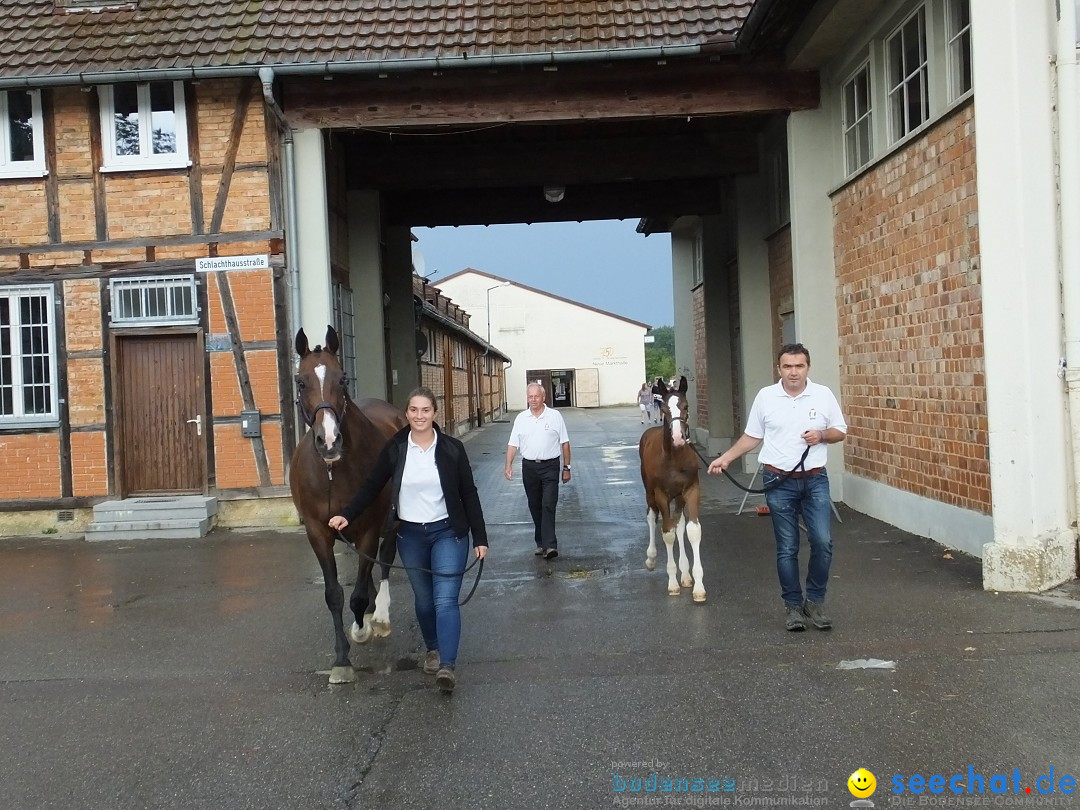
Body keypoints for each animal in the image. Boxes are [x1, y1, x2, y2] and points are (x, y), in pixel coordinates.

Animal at [289, 324, 406, 686]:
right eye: (301, 381)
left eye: (342, 379)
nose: (329, 441)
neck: (332, 471)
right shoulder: (318, 532)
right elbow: (334, 595)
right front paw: (342, 659)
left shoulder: (369, 528)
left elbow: (357, 594)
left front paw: (362, 629)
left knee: (384, 558)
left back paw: (378, 616)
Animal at [635, 380, 704, 604]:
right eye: (664, 410)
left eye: (686, 407)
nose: (678, 438)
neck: (674, 459)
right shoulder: (661, 495)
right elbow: (667, 533)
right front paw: (672, 582)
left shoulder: (691, 490)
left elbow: (691, 530)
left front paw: (697, 585)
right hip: (650, 493)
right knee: (652, 517)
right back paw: (651, 558)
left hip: (679, 497)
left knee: (679, 524)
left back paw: (686, 574)